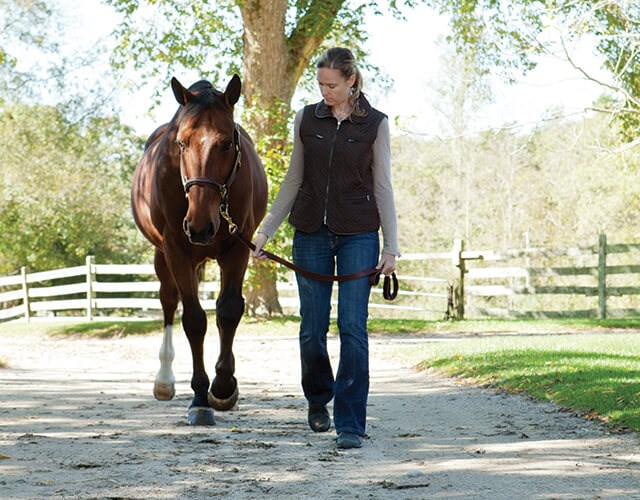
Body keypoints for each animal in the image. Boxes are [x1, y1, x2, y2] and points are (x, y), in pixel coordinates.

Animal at [132, 74, 268, 426]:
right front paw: (199, 398)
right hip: (162, 257)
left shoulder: (238, 246)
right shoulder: (176, 249)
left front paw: (223, 387)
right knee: (169, 302)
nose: (200, 225)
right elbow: (193, 319)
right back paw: (165, 381)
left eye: (227, 143)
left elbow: (229, 310)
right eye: (182, 144)